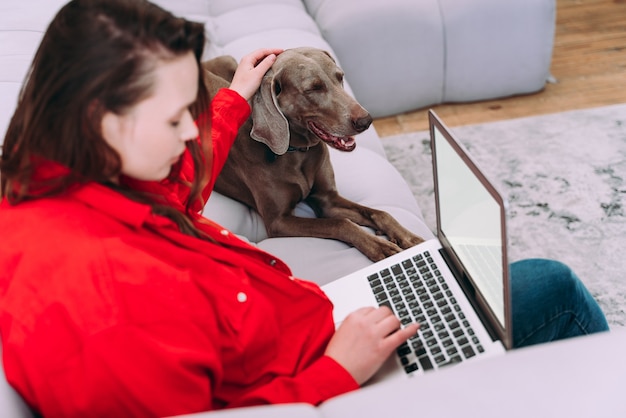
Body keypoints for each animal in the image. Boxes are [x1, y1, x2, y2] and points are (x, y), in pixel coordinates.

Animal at [202, 47, 422, 260]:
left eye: (340, 77)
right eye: (313, 88)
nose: (366, 121)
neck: (297, 152)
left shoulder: (327, 199)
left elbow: (380, 213)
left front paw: (408, 237)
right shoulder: (278, 221)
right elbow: (340, 223)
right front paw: (379, 246)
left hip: (230, 61)